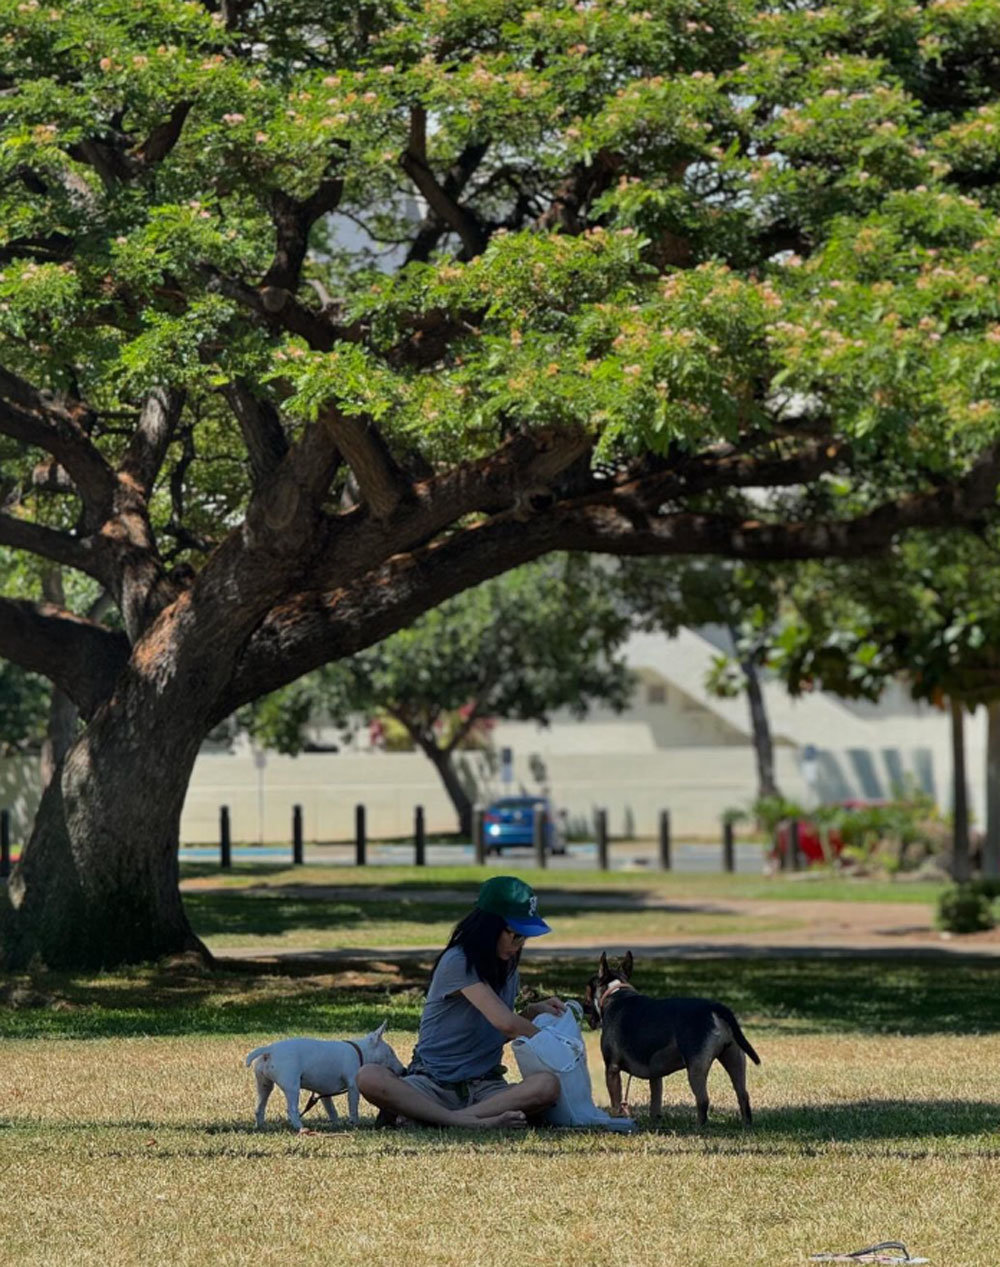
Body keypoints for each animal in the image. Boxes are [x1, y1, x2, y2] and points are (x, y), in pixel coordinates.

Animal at [243, 1023, 403, 1135]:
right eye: (391, 1051)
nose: (404, 1070)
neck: (360, 1052)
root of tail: (269, 1050)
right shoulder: (353, 1086)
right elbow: (353, 1107)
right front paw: (354, 1123)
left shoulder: (323, 1092)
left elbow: (331, 1109)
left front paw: (337, 1124)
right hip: (292, 1086)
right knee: (292, 1110)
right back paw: (300, 1128)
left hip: (264, 1084)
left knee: (259, 1107)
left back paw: (260, 1127)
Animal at [580, 952, 760, 1130]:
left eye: (587, 990)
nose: (583, 1006)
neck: (615, 993)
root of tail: (716, 1008)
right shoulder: (655, 1074)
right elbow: (655, 1101)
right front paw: (655, 1123)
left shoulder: (612, 1068)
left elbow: (616, 1103)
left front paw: (617, 1121)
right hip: (734, 1058)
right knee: (743, 1095)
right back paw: (746, 1125)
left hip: (696, 1067)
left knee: (703, 1100)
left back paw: (697, 1129)